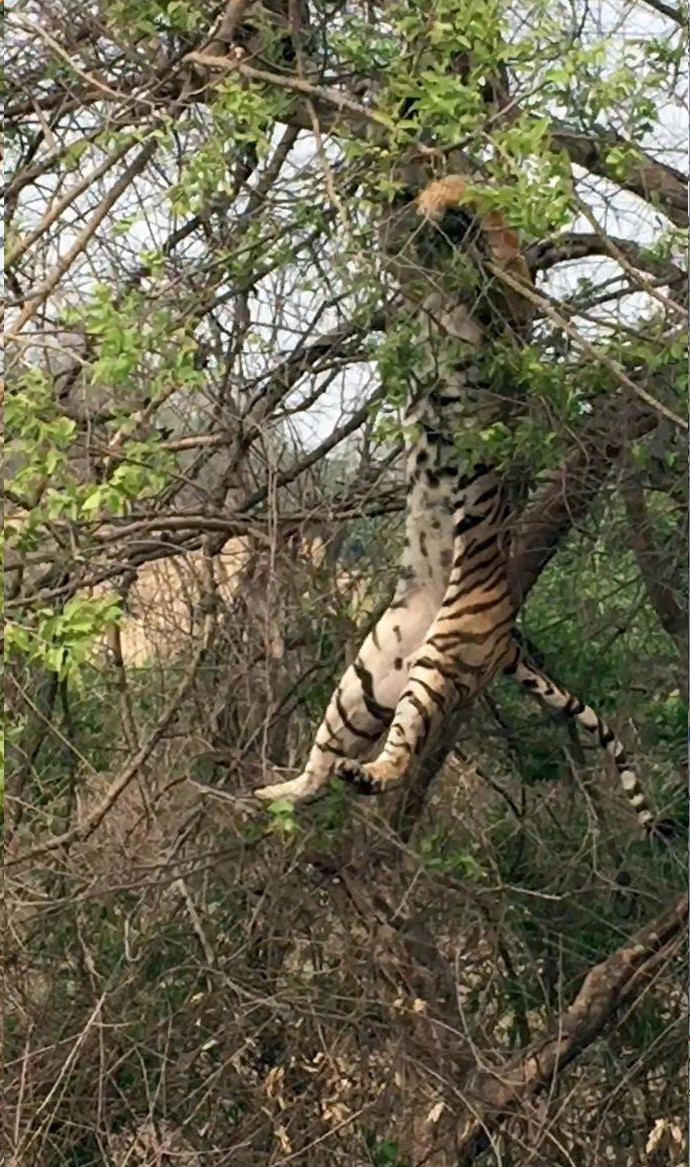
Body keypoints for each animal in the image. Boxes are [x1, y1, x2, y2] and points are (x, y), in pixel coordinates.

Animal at [255, 170, 658, 830]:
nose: (431, 221)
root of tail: (507, 637)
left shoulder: (506, 308)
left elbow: (500, 243)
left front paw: (454, 197)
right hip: (369, 674)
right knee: (327, 759)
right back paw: (281, 792)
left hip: (440, 658)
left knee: (400, 753)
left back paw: (359, 776)